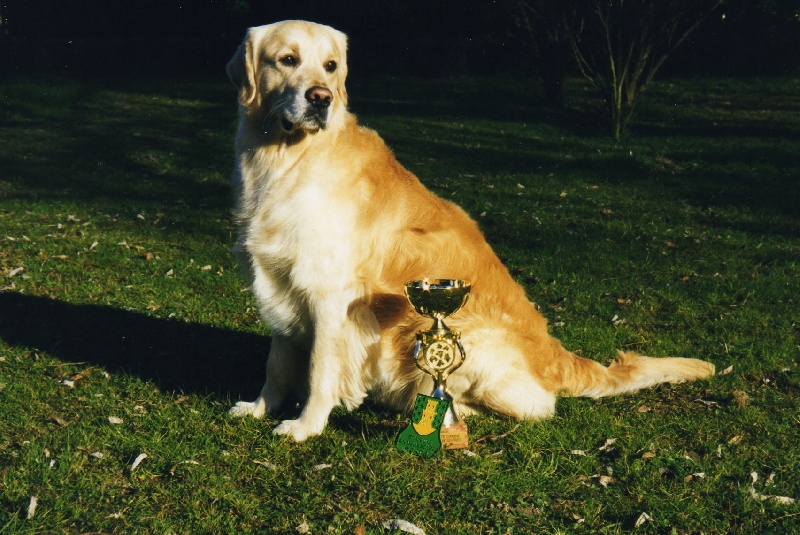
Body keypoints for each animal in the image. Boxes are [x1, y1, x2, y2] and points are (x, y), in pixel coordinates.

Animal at [225, 19, 712, 444]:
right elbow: (278, 363)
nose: (321, 98)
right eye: (287, 59)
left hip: (459, 337)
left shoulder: (330, 294)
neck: (287, 158)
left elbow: (319, 370)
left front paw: (305, 426)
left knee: (538, 406)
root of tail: (554, 354)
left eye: (330, 66)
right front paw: (259, 407)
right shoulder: (280, 281)